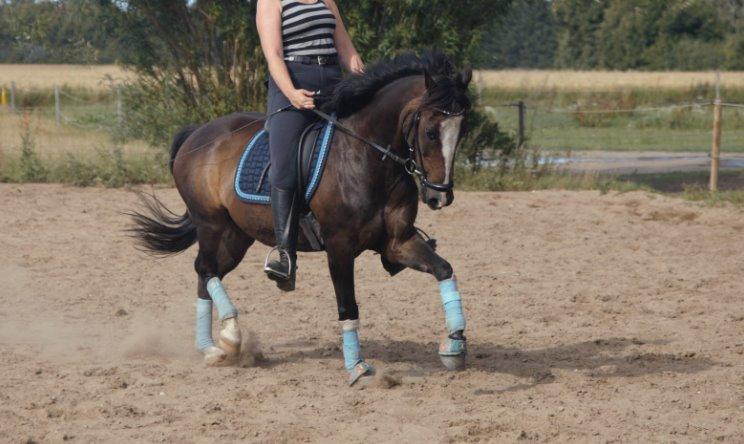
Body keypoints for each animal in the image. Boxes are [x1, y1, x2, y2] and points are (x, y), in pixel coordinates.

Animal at [129, 50, 473, 385]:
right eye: (430, 132)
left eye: (461, 134)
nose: (439, 197)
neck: (367, 156)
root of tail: (197, 133)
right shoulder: (339, 246)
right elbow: (347, 304)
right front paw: (357, 368)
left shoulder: (398, 242)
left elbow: (444, 269)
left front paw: (454, 345)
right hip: (211, 223)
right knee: (205, 269)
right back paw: (230, 336)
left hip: (236, 235)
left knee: (207, 274)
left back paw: (212, 349)